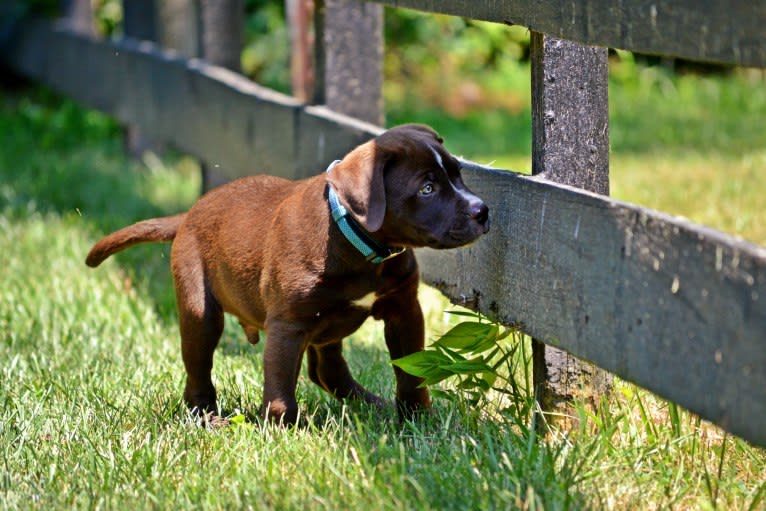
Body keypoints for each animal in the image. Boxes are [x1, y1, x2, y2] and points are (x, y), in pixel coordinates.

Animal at [85, 124, 492, 424]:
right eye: (427, 188)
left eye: (458, 175)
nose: (482, 210)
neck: (359, 245)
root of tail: (189, 214)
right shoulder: (289, 323)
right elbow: (280, 380)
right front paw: (283, 427)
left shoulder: (403, 310)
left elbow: (411, 371)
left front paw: (417, 417)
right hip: (200, 311)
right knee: (198, 369)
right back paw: (206, 417)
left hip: (327, 325)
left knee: (326, 370)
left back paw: (368, 404)